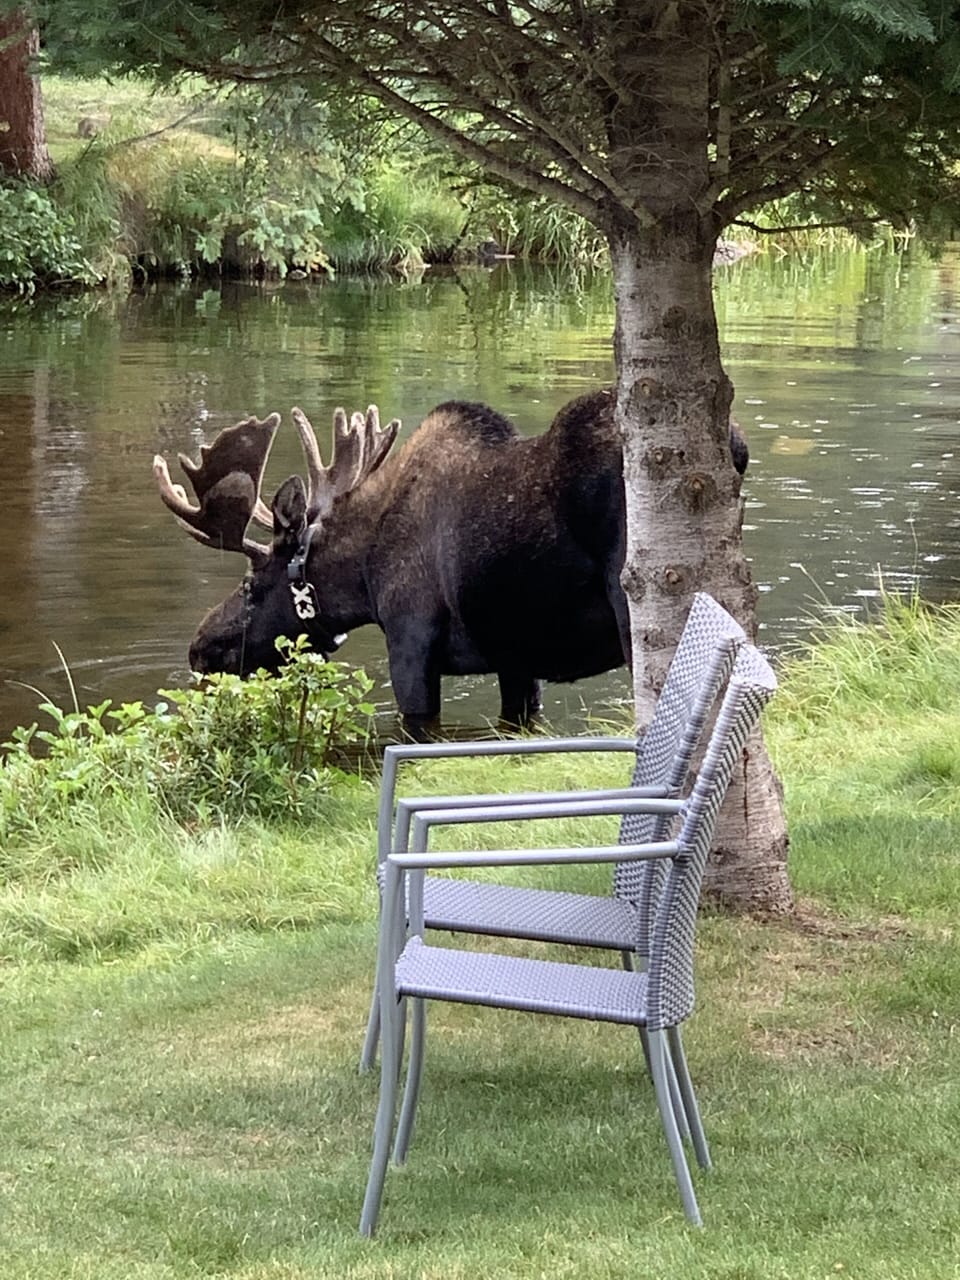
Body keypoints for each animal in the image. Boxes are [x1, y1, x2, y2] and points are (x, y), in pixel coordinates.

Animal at [153, 389, 747, 734]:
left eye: (251, 586)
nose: (199, 648)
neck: (362, 575)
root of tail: (735, 448)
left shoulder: (411, 643)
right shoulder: (516, 659)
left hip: (636, 601)